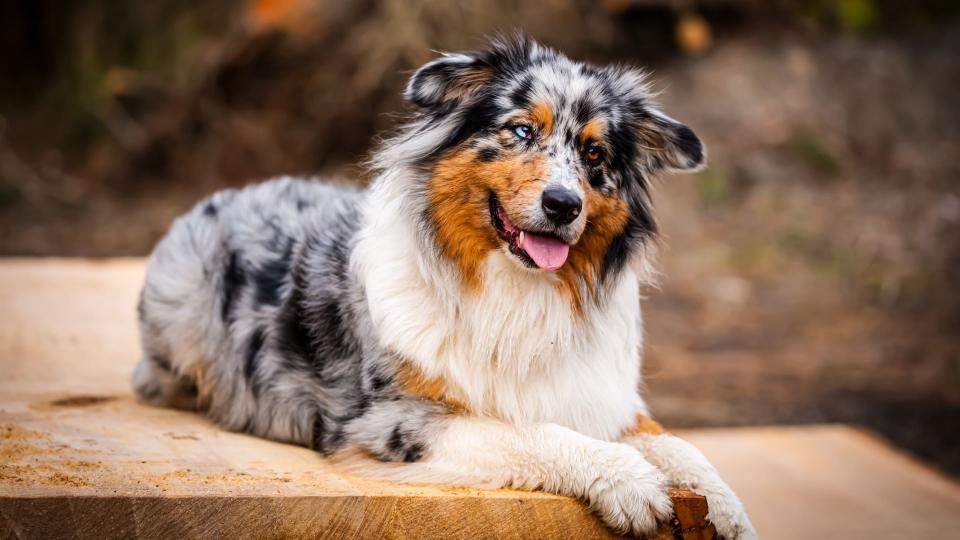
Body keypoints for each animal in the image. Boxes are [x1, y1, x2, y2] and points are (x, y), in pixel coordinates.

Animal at [131, 35, 752, 536]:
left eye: (595, 153)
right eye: (522, 129)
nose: (563, 204)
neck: (516, 293)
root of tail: (230, 192)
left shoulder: (603, 396)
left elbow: (675, 442)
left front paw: (727, 507)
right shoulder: (393, 422)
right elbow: (532, 432)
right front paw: (628, 479)